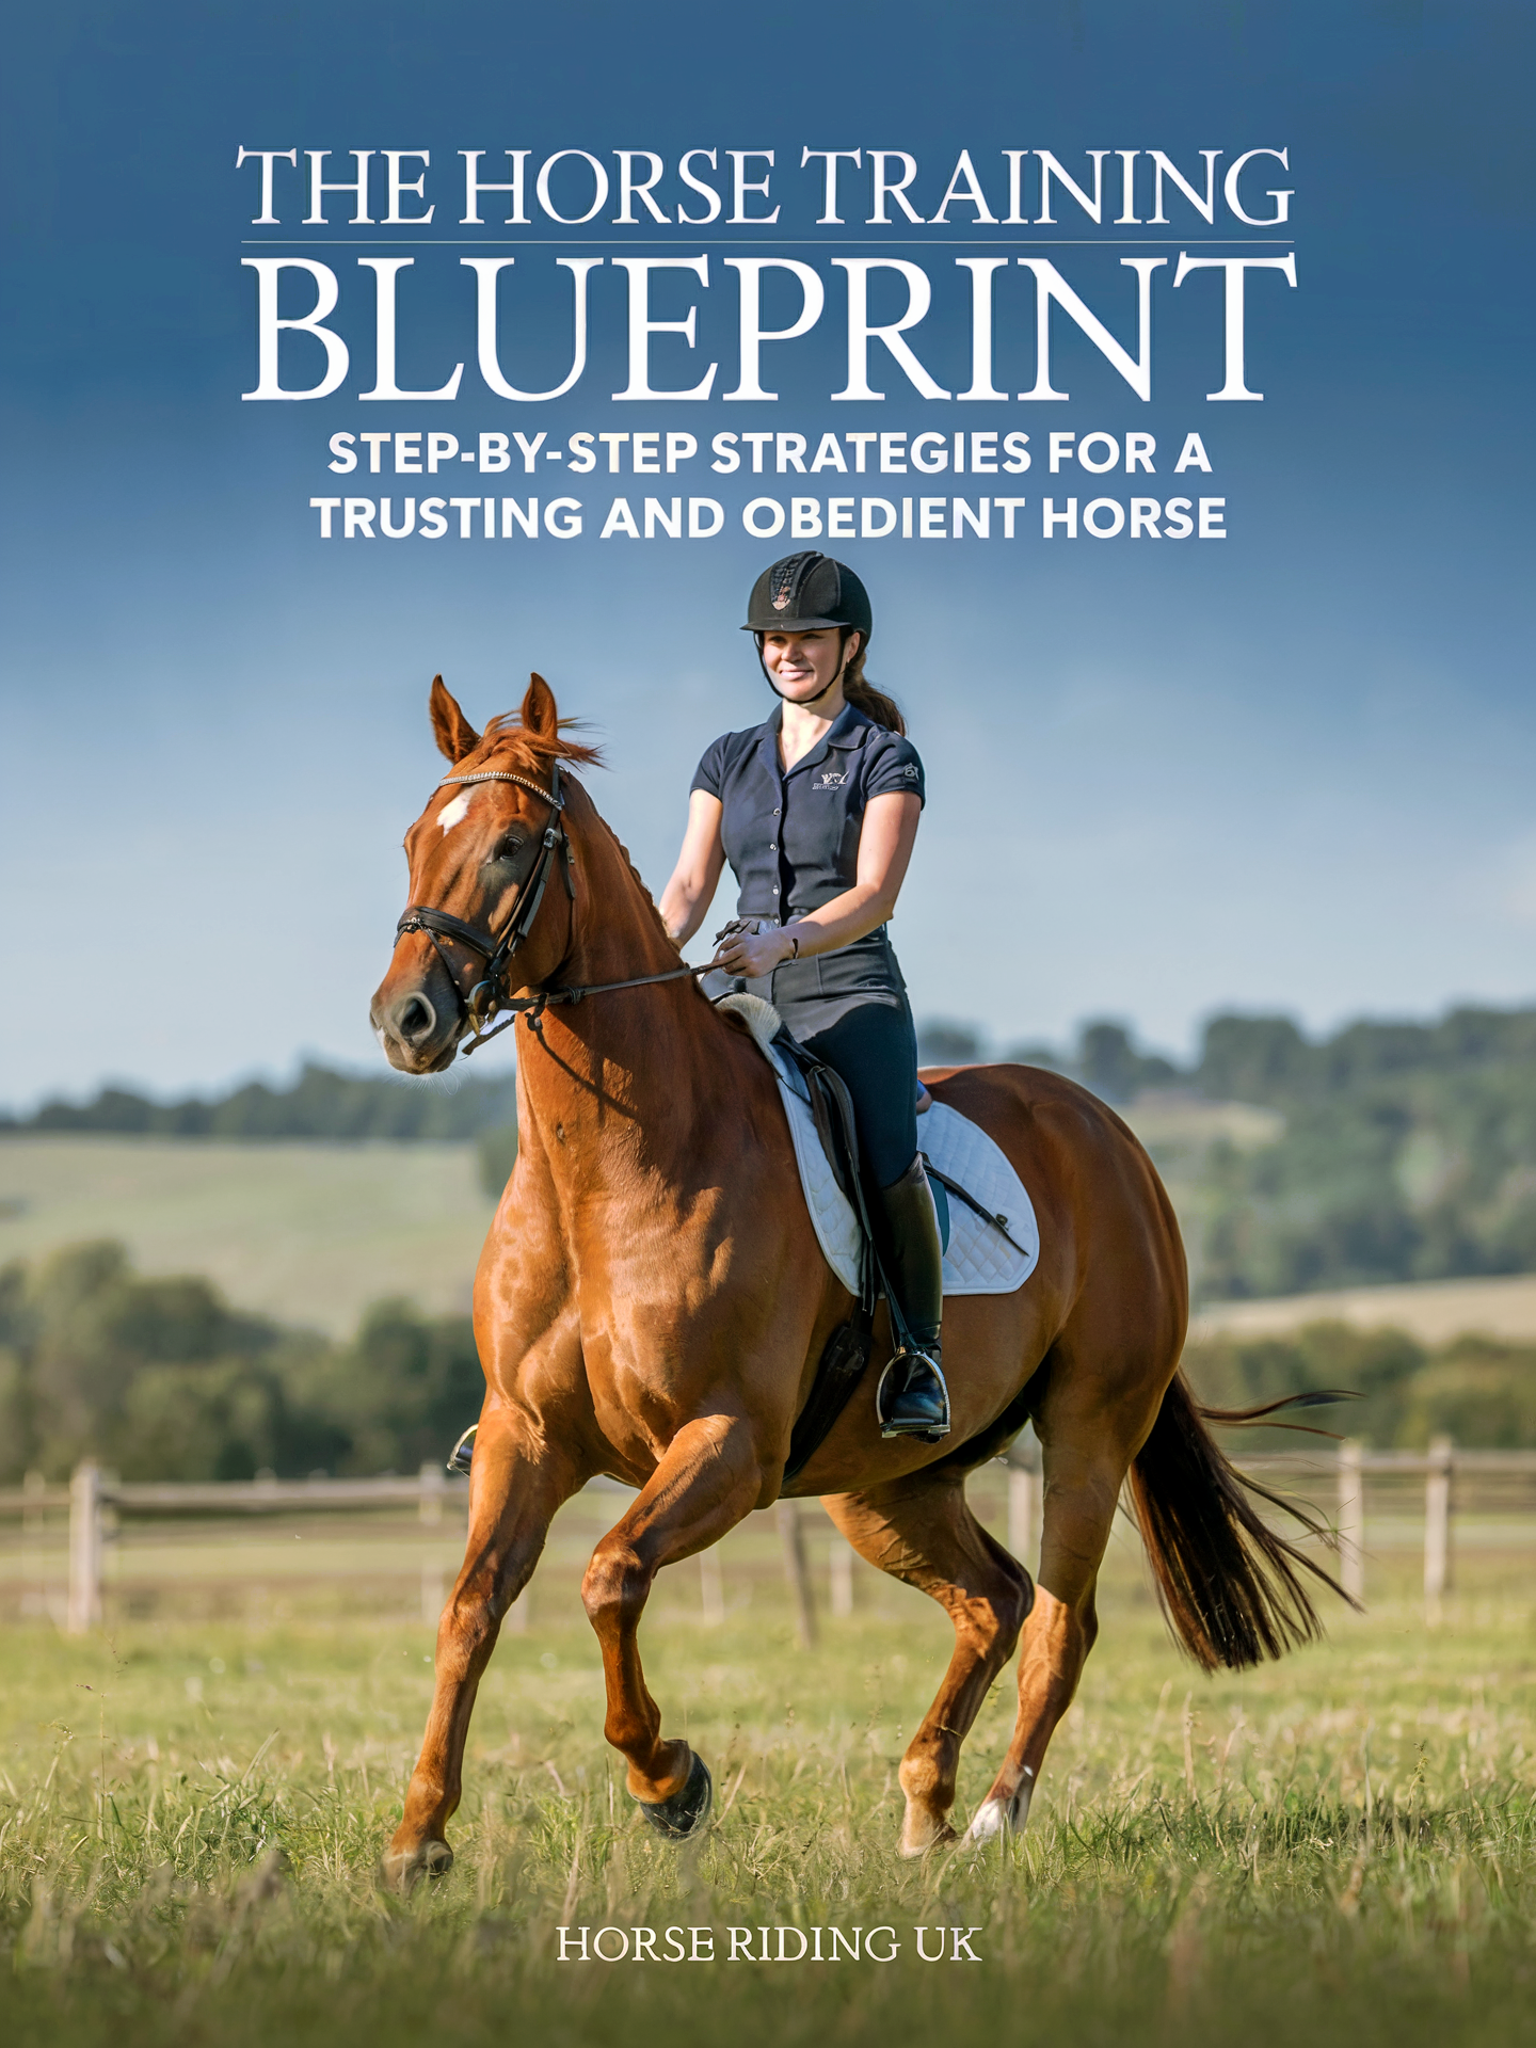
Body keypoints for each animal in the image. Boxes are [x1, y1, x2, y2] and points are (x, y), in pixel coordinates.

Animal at [371, 671, 1339, 1883]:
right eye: (414, 839)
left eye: (508, 845)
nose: (405, 1019)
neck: (607, 1179)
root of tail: (1108, 1133)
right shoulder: (525, 1434)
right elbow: (470, 1608)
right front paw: (418, 1834)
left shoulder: (729, 1444)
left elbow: (609, 1575)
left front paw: (669, 1782)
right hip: (880, 1483)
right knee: (993, 1599)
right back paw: (927, 1804)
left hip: (1087, 1428)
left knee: (1059, 1621)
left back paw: (996, 1814)